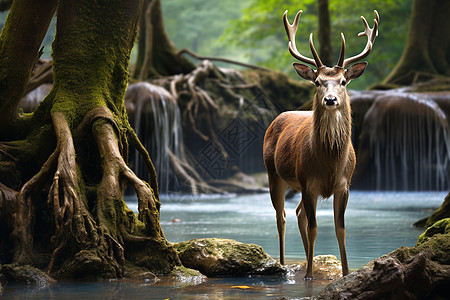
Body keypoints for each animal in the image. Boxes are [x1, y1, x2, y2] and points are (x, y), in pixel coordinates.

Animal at [264, 10, 380, 280]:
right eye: (317, 81)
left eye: (344, 81)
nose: (330, 99)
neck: (329, 163)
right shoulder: (309, 182)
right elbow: (315, 227)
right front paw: (308, 275)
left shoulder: (344, 184)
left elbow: (340, 228)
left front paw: (346, 272)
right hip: (274, 173)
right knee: (282, 217)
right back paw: (284, 265)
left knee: (298, 214)